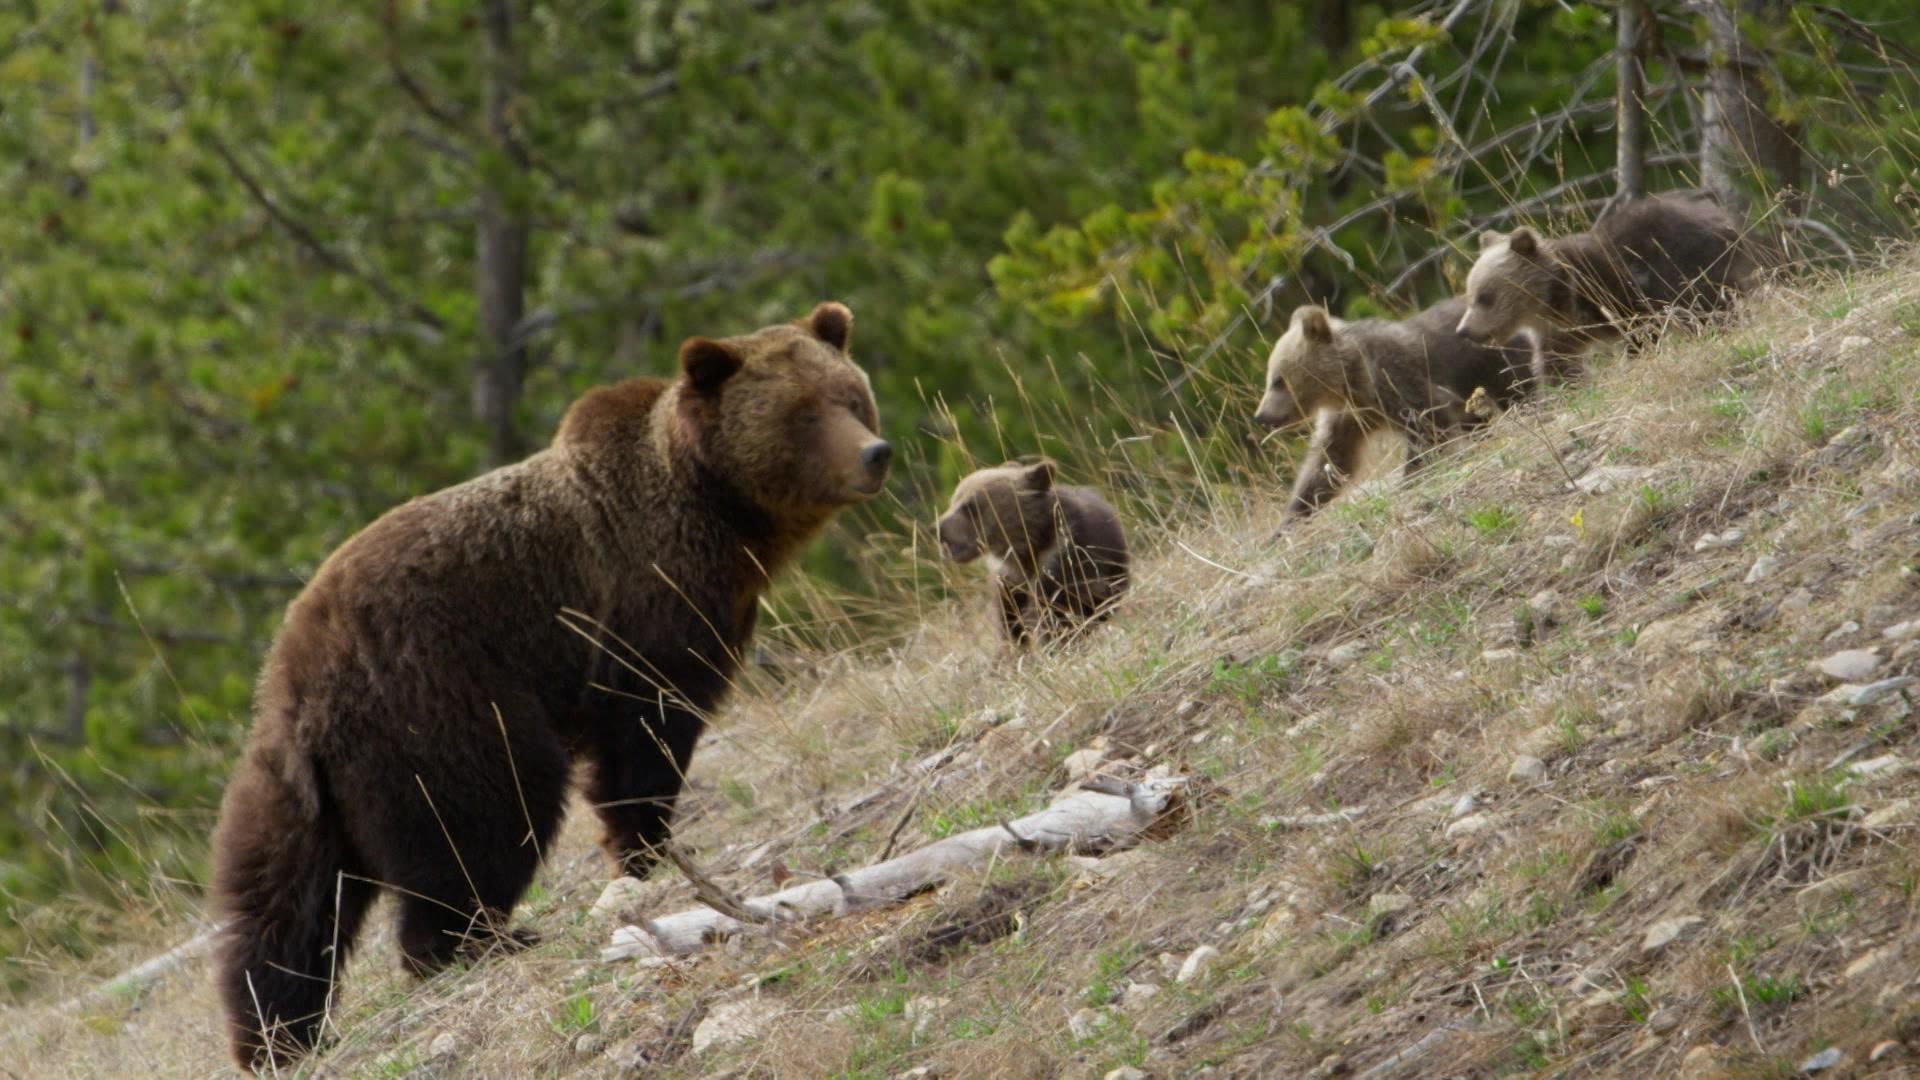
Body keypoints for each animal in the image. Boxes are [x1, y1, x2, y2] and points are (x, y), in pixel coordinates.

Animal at [212, 303, 890, 1068]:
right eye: (802, 413)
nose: (875, 453)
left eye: (851, 396)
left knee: (280, 899)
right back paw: (477, 941)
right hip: (436, 701)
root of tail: (303, 681)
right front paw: (642, 848)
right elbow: (647, 731)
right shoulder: (642, 602)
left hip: (290, 780)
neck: (718, 513)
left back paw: (277, 1034)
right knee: (484, 810)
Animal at [940, 457, 1128, 641]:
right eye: (953, 501)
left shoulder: (1063, 566)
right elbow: (1010, 621)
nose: (939, 528)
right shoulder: (1009, 580)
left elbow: (1054, 616)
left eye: (970, 506)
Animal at [1251, 294, 1536, 511]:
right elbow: (1329, 463)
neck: (1351, 381)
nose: (1261, 415)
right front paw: (1291, 516)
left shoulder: (1398, 380)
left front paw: (1409, 478)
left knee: (1517, 387)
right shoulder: (1350, 416)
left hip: (1496, 361)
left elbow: (1428, 427)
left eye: (1277, 380)